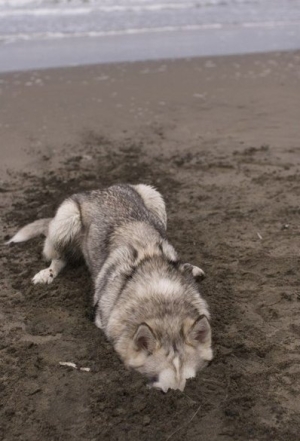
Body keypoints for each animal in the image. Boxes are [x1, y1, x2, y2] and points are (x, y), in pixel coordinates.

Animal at [8, 184, 212, 390]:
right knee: (60, 257)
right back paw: (47, 273)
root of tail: (100, 189)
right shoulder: (101, 318)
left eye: (191, 382)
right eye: (163, 390)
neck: (161, 299)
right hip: (66, 221)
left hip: (153, 198)